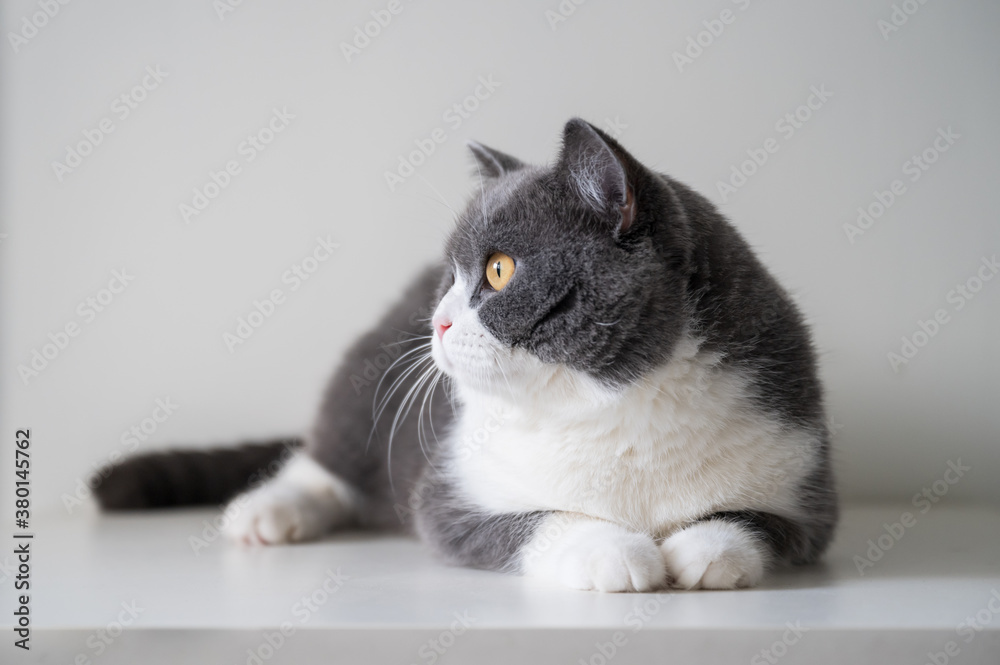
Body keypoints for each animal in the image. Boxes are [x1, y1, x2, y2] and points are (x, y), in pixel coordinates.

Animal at [99, 118, 836, 592]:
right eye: (449, 277)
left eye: (500, 270)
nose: (439, 318)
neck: (614, 409)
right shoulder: (448, 491)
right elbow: (524, 520)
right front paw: (611, 549)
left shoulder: (807, 472)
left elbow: (772, 523)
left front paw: (706, 547)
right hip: (365, 380)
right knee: (325, 454)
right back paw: (269, 511)